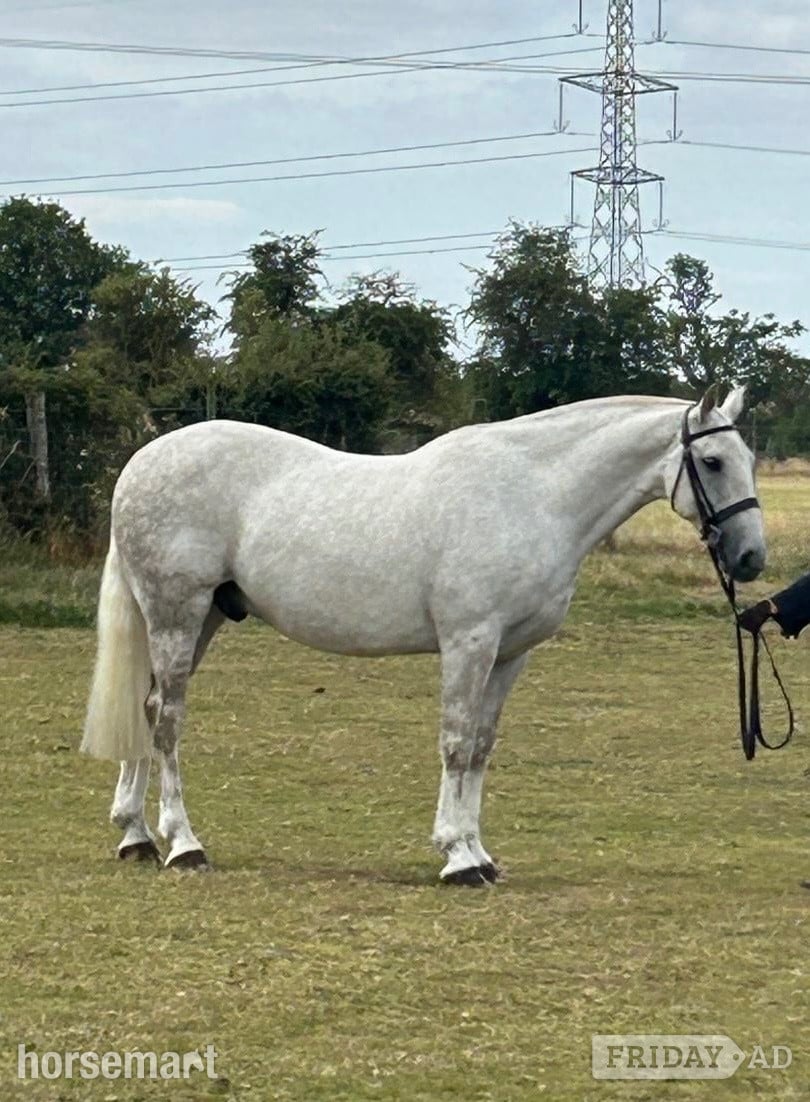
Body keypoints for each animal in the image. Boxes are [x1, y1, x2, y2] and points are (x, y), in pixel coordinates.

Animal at [82, 386, 764, 884]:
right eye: (712, 462)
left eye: (749, 461)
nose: (752, 558)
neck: (533, 495)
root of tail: (140, 464)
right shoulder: (469, 642)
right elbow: (456, 742)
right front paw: (457, 857)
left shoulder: (510, 654)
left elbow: (482, 745)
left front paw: (479, 852)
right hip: (177, 612)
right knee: (168, 720)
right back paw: (183, 845)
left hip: (203, 619)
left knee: (147, 707)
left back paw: (136, 835)